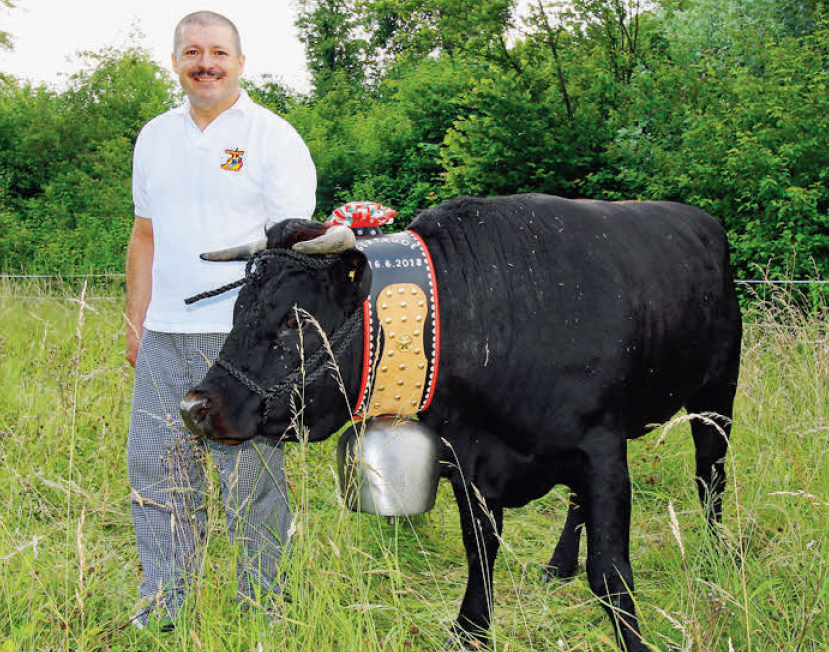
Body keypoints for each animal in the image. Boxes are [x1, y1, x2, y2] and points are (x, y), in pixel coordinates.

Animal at [178, 195, 740, 652]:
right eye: (236, 308)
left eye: (295, 321)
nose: (195, 407)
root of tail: (702, 219)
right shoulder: (470, 461)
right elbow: (480, 554)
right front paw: (469, 633)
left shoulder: (600, 448)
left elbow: (610, 573)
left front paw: (634, 641)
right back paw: (559, 563)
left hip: (716, 395)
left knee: (709, 476)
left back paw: (715, 559)